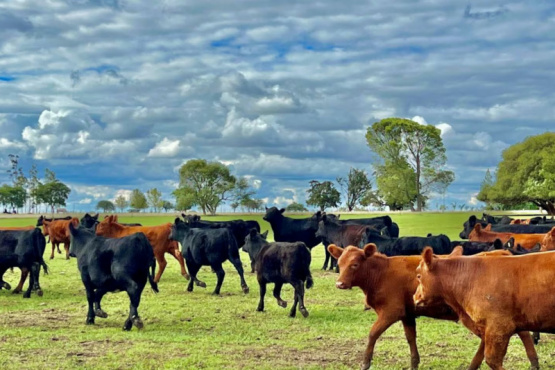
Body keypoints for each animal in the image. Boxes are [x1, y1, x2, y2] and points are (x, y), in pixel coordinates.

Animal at [330, 243, 540, 370]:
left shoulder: (391, 312)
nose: (339, 284)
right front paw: (414, 363)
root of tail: (501, 252)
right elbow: (411, 338)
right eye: (339, 263)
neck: (382, 272)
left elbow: (373, 333)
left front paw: (365, 362)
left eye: (355, 264)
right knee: (522, 333)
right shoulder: (408, 314)